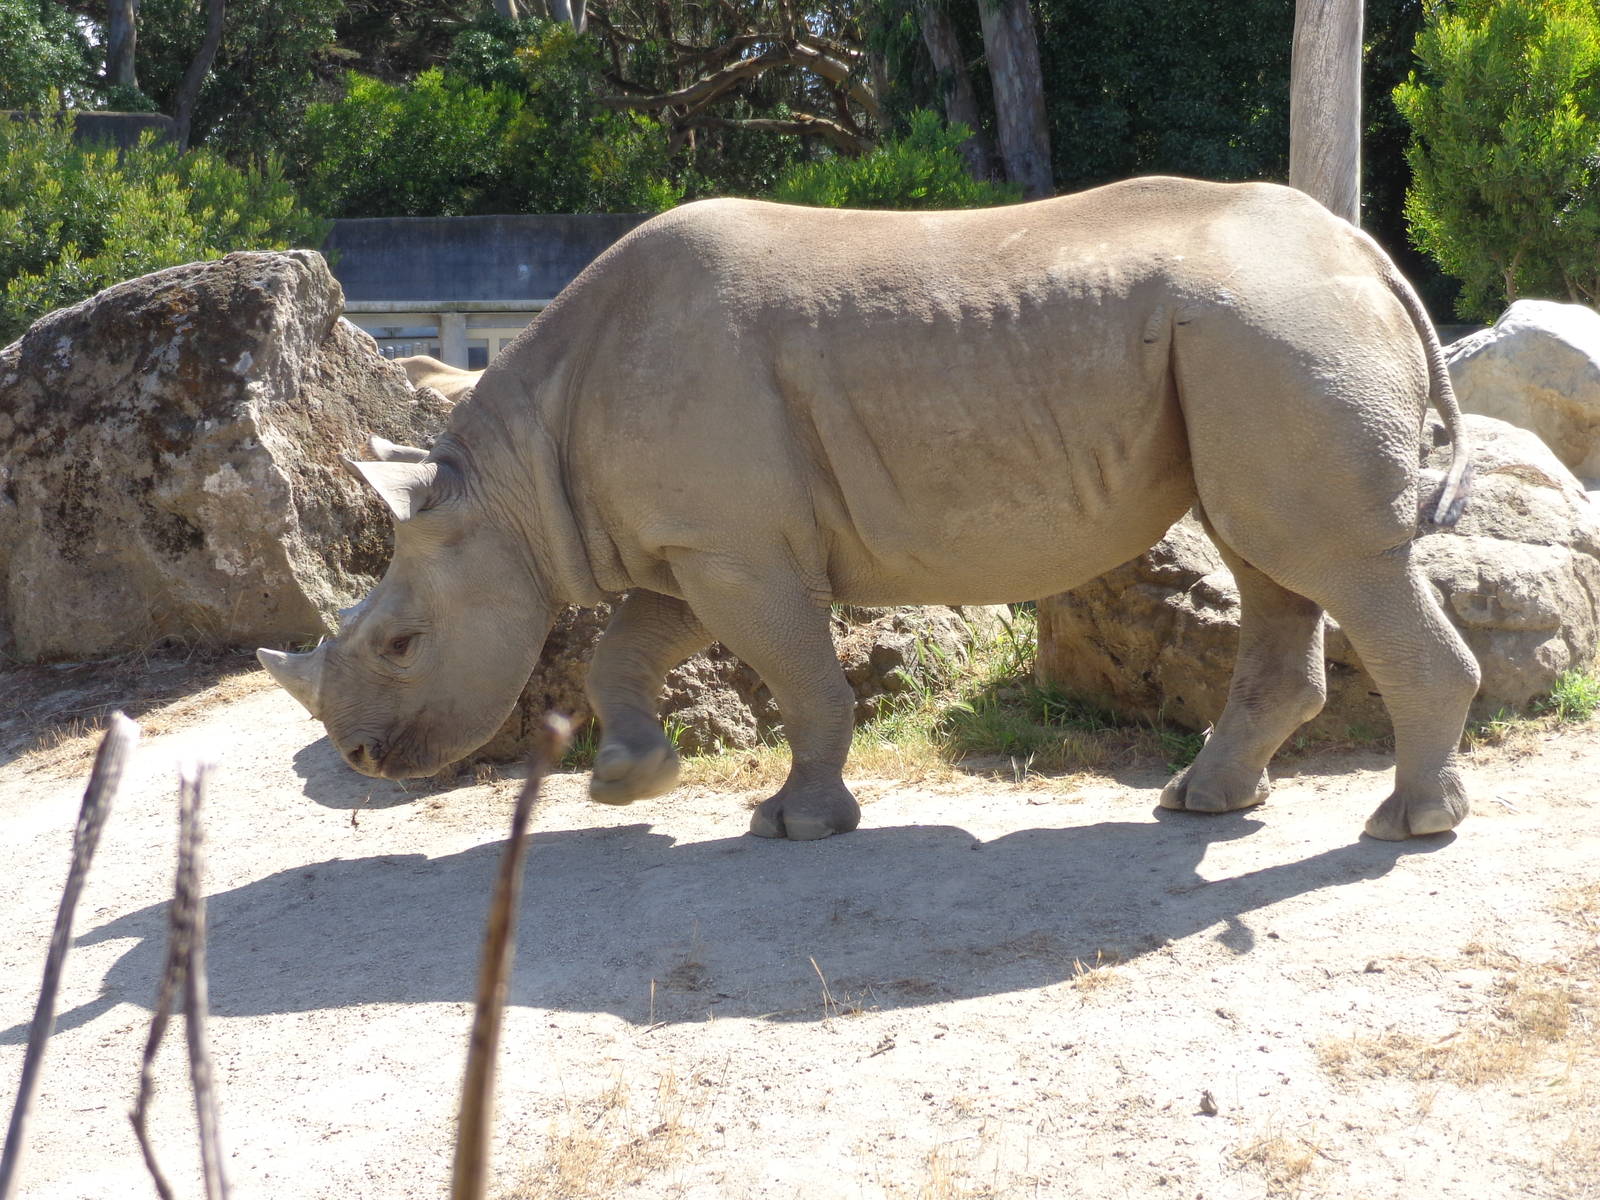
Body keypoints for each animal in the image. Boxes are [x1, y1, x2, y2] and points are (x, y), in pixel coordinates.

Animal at [258, 177, 1481, 842]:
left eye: (402, 643)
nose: (363, 760)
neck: (512, 489)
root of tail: (1366, 255)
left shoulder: (734, 549)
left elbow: (803, 682)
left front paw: (796, 824)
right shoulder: (695, 542)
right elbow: (625, 650)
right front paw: (626, 783)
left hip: (1276, 329)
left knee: (1326, 557)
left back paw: (1407, 826)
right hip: (1251, 343)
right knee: (1268, 558)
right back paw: (1204, 803)